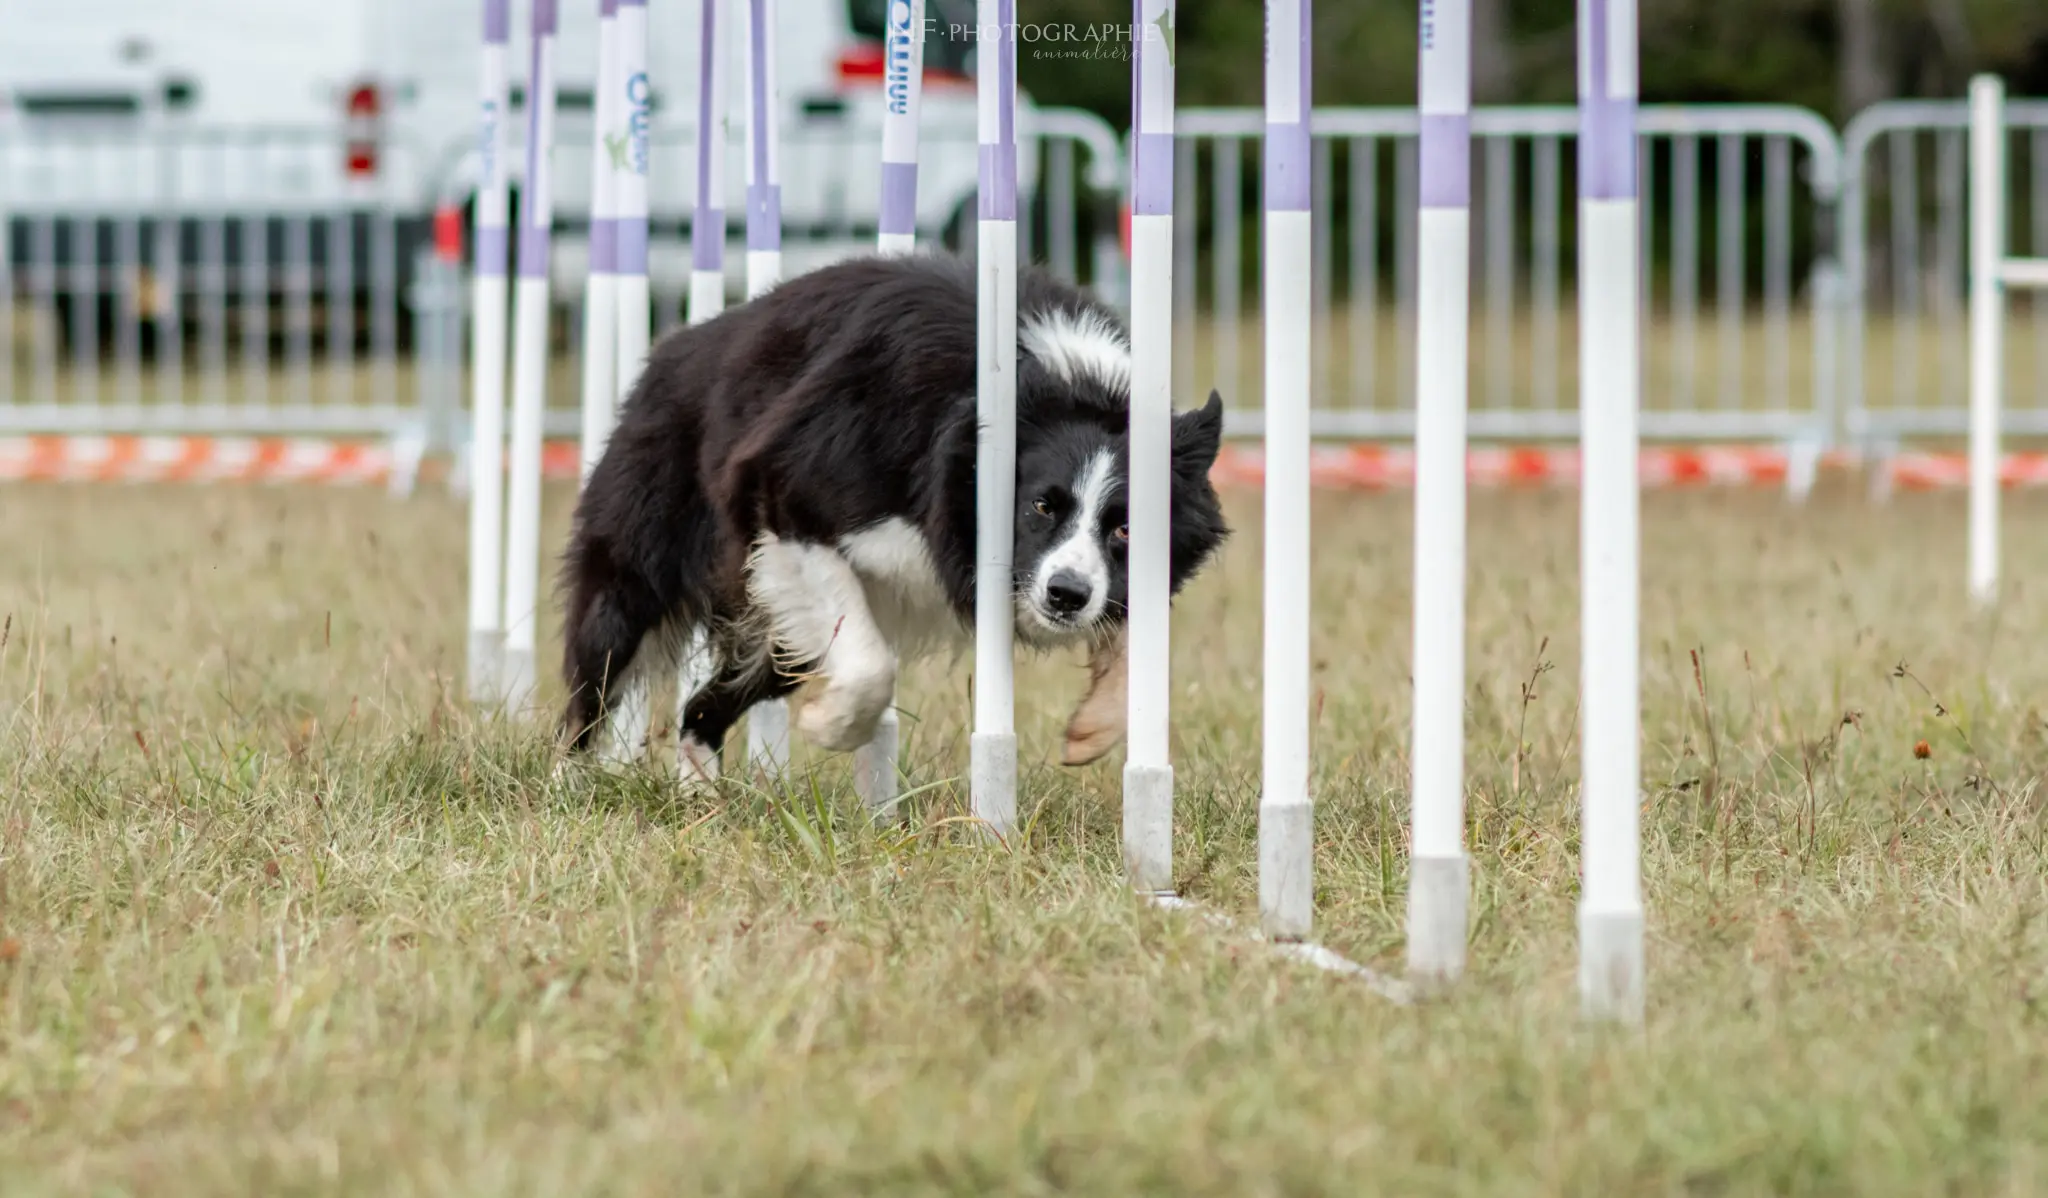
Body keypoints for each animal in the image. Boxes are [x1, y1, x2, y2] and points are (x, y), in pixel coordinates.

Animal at [557, 249, 1228, 774]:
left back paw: (701, 792)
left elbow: (1140, 636)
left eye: (1125, 528)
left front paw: (1093, 729)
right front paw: (831, 727)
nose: (1066, 596)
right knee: (598, 677)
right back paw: (574, 785)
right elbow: (871, 663)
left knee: (702, 706)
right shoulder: (789, 485)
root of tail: (673, 349)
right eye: (1041, 505)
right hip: (645, 556)